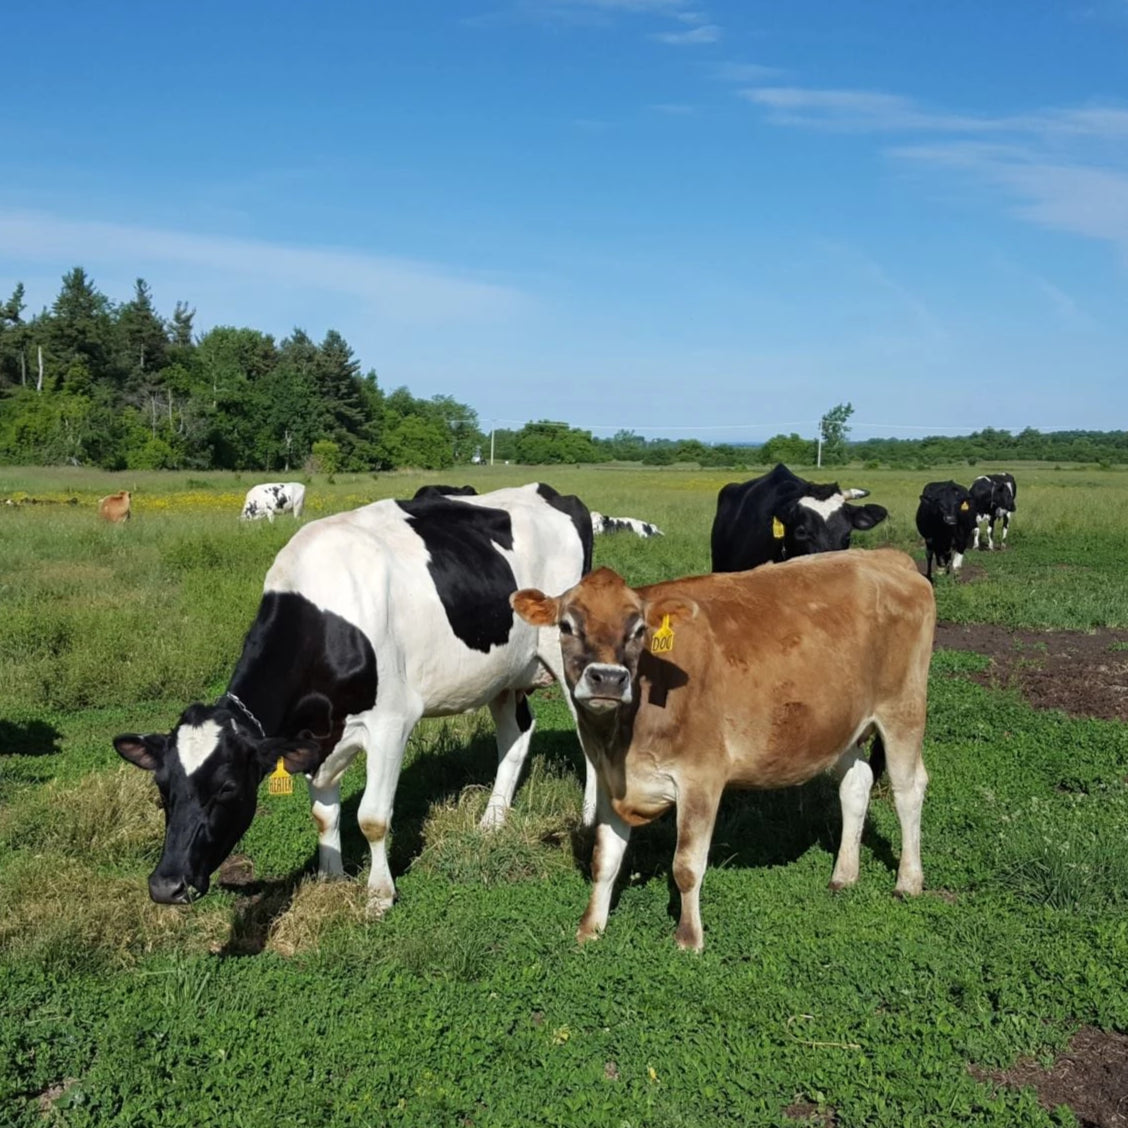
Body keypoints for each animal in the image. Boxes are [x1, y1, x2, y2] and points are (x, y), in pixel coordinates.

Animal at [112, 480, 600, 911]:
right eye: (162, 788)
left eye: (228, 788)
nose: (166, 885)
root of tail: (552, 492)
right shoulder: (315, 738)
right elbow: (323, 813)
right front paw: (330, 878)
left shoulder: (391, 722)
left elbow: (373, 818)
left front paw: (379, 895)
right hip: (503, 671)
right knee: (516, 733)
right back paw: (491, 822)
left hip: (571, 661)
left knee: (589, 736)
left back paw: (590, 817)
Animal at [512, 550, 933, 947]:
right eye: (566, 626)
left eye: (638, 629)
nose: (608, 678)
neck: (623, 738)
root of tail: (884, 557)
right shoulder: (608, 779)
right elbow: (604, 859)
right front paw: (590, 929)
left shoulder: (701, 777)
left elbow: (686, 865)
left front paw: (688, 938)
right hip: (840, 723)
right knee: (856, 783)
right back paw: (844, 875)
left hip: (903, 709)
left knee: (908, 789)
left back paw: (908, 881)